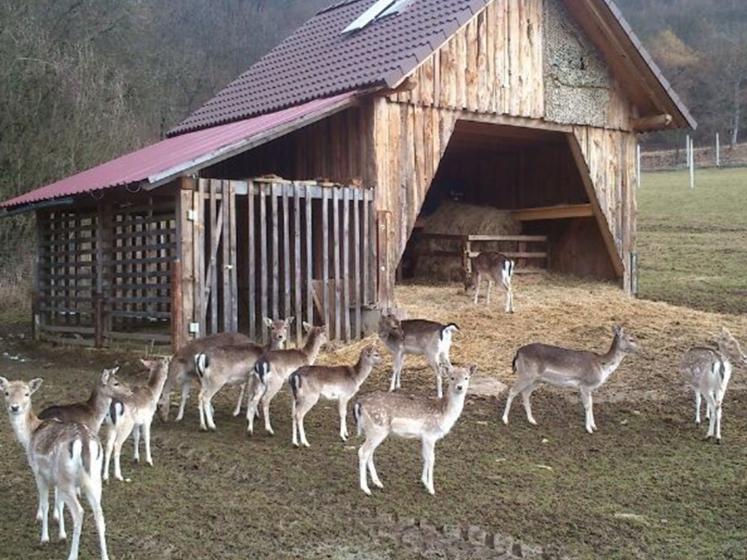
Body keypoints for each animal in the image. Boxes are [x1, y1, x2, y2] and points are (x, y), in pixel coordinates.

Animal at [0, 376, 110, 560]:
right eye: (7, 392)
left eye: (27, 393)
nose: (14, 407)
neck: (30, 435)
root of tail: (84, 441)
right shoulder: (56, 478)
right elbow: (59, 502)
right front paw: (61, 534)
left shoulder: (38, 472)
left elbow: (45, 504)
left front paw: (45, 538)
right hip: (93, 478)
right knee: (99, 513)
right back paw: (105, 556)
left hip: (67, 478)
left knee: (79, 512)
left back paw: (72, 555)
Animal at [356, 366, 474, 496]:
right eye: (452, 377)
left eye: (466, 378)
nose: (459, 387)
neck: (444, 414)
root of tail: (359, 403)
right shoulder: (430, 434)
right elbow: (431, 459)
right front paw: (431, 489)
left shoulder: (424, 437)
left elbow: (425, 457)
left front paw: (424, 482)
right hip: (378, 428)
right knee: (362, 451)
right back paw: (365, 488)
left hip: (372, 431)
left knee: (370, 453)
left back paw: (378, 483)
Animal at [500, 324, 640, 434]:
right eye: (631, 339)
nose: (640, 349)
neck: (602, 366)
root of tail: (518, 352)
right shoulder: (585, 385)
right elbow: (587, 405)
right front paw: (589, 429)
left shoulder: (590, 388)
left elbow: (592, 404)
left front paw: (594, 426)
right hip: (526, 374)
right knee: (512, 390)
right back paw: (505, 419)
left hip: (536, 380)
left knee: (525, 394)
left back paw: (532, 420)